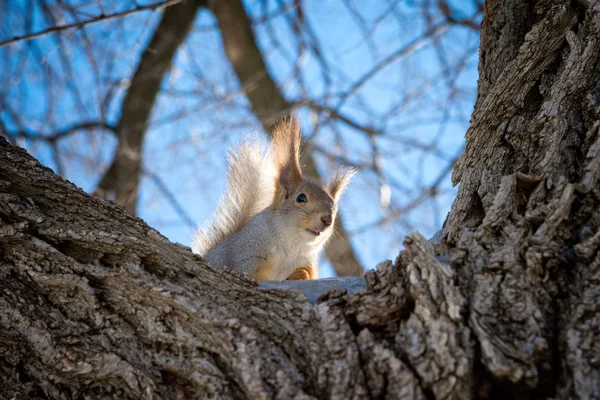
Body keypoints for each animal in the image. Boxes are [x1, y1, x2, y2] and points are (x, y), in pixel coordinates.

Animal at [192, 115, 354, 280]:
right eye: (301, 198)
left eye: (334, 209)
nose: (327, 220)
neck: (292, 245)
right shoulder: (247, 253)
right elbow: (251, 274)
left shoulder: (306, 262)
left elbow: (305, 272)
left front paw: (301, 274)